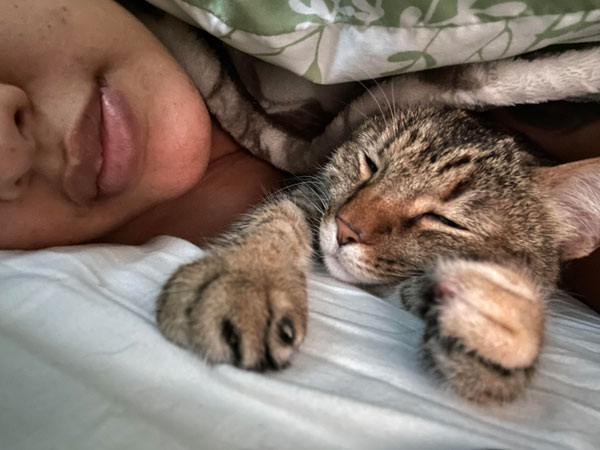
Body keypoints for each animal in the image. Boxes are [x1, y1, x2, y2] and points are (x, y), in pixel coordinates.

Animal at [156, 106, 600, 404]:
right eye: (371, 164)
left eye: (442, 219)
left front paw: (507, 320)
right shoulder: (310, 195)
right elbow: (276, 220)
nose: (345, 228)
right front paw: (248, 276)